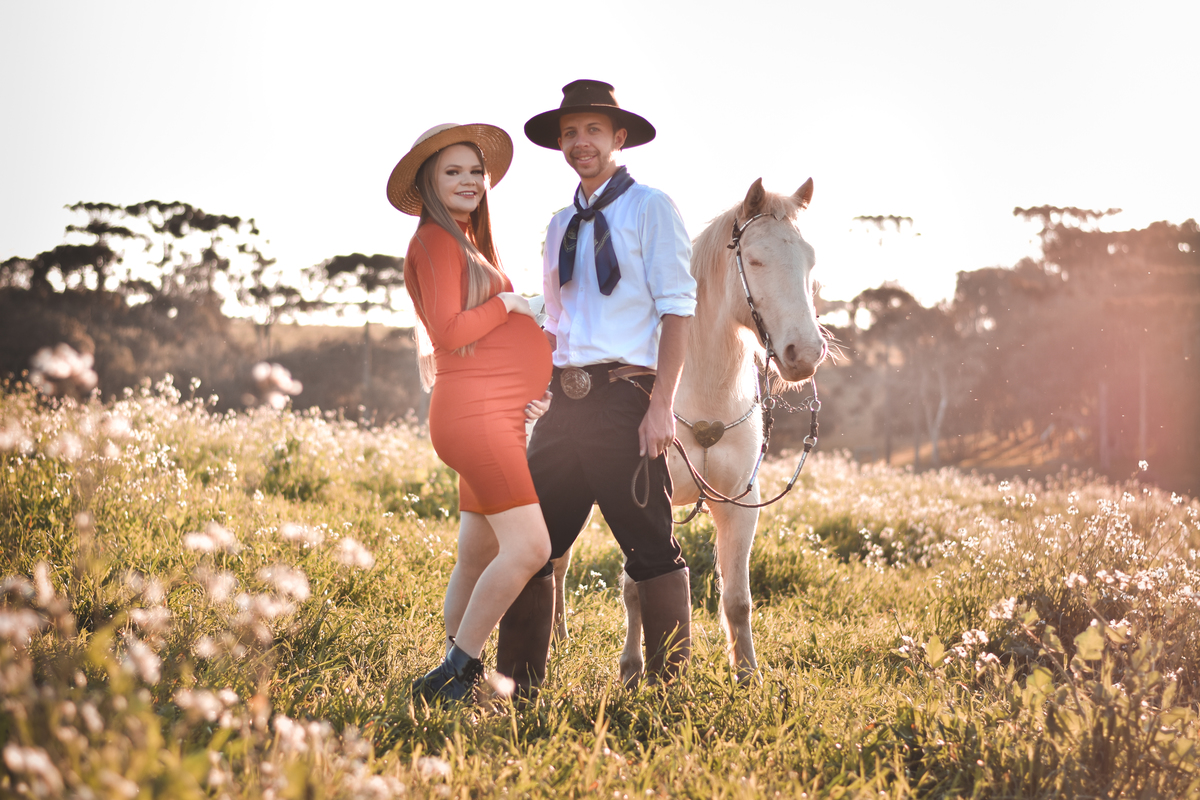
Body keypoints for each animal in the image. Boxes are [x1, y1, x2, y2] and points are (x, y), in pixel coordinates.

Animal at [550, 177, 828, 682]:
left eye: (810, 259)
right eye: (755, 259)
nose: (805, 353)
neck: (698, 389)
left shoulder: (739, 503)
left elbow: (737, 598)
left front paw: (747, 674)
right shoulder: (638, 500)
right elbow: (635, 589)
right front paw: (633, 668)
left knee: (558, 562)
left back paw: (558, 636)